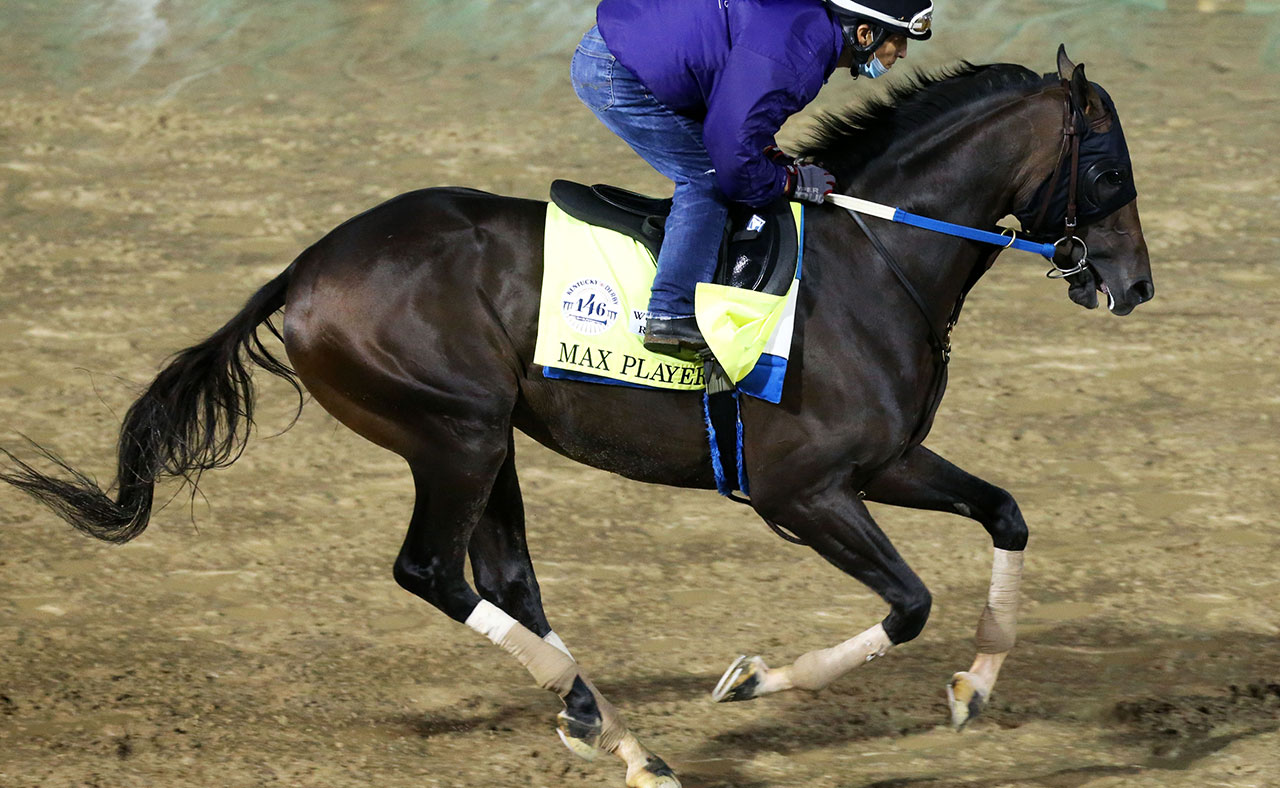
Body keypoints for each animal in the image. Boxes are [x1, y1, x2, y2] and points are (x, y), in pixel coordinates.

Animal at [2, 48, 1152, 788]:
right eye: (1106, 170)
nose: (1131, 284)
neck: (872, 262)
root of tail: (307, 268)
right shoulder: (801, 489)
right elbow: (908, 601)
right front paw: (754, 678)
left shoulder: (885, 462)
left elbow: (1004, 513)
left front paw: (974, 686)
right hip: (455, 435)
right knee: (434, 572)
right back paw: (604, 723)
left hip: (486, 439)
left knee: (505, 578)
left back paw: (612, 731)